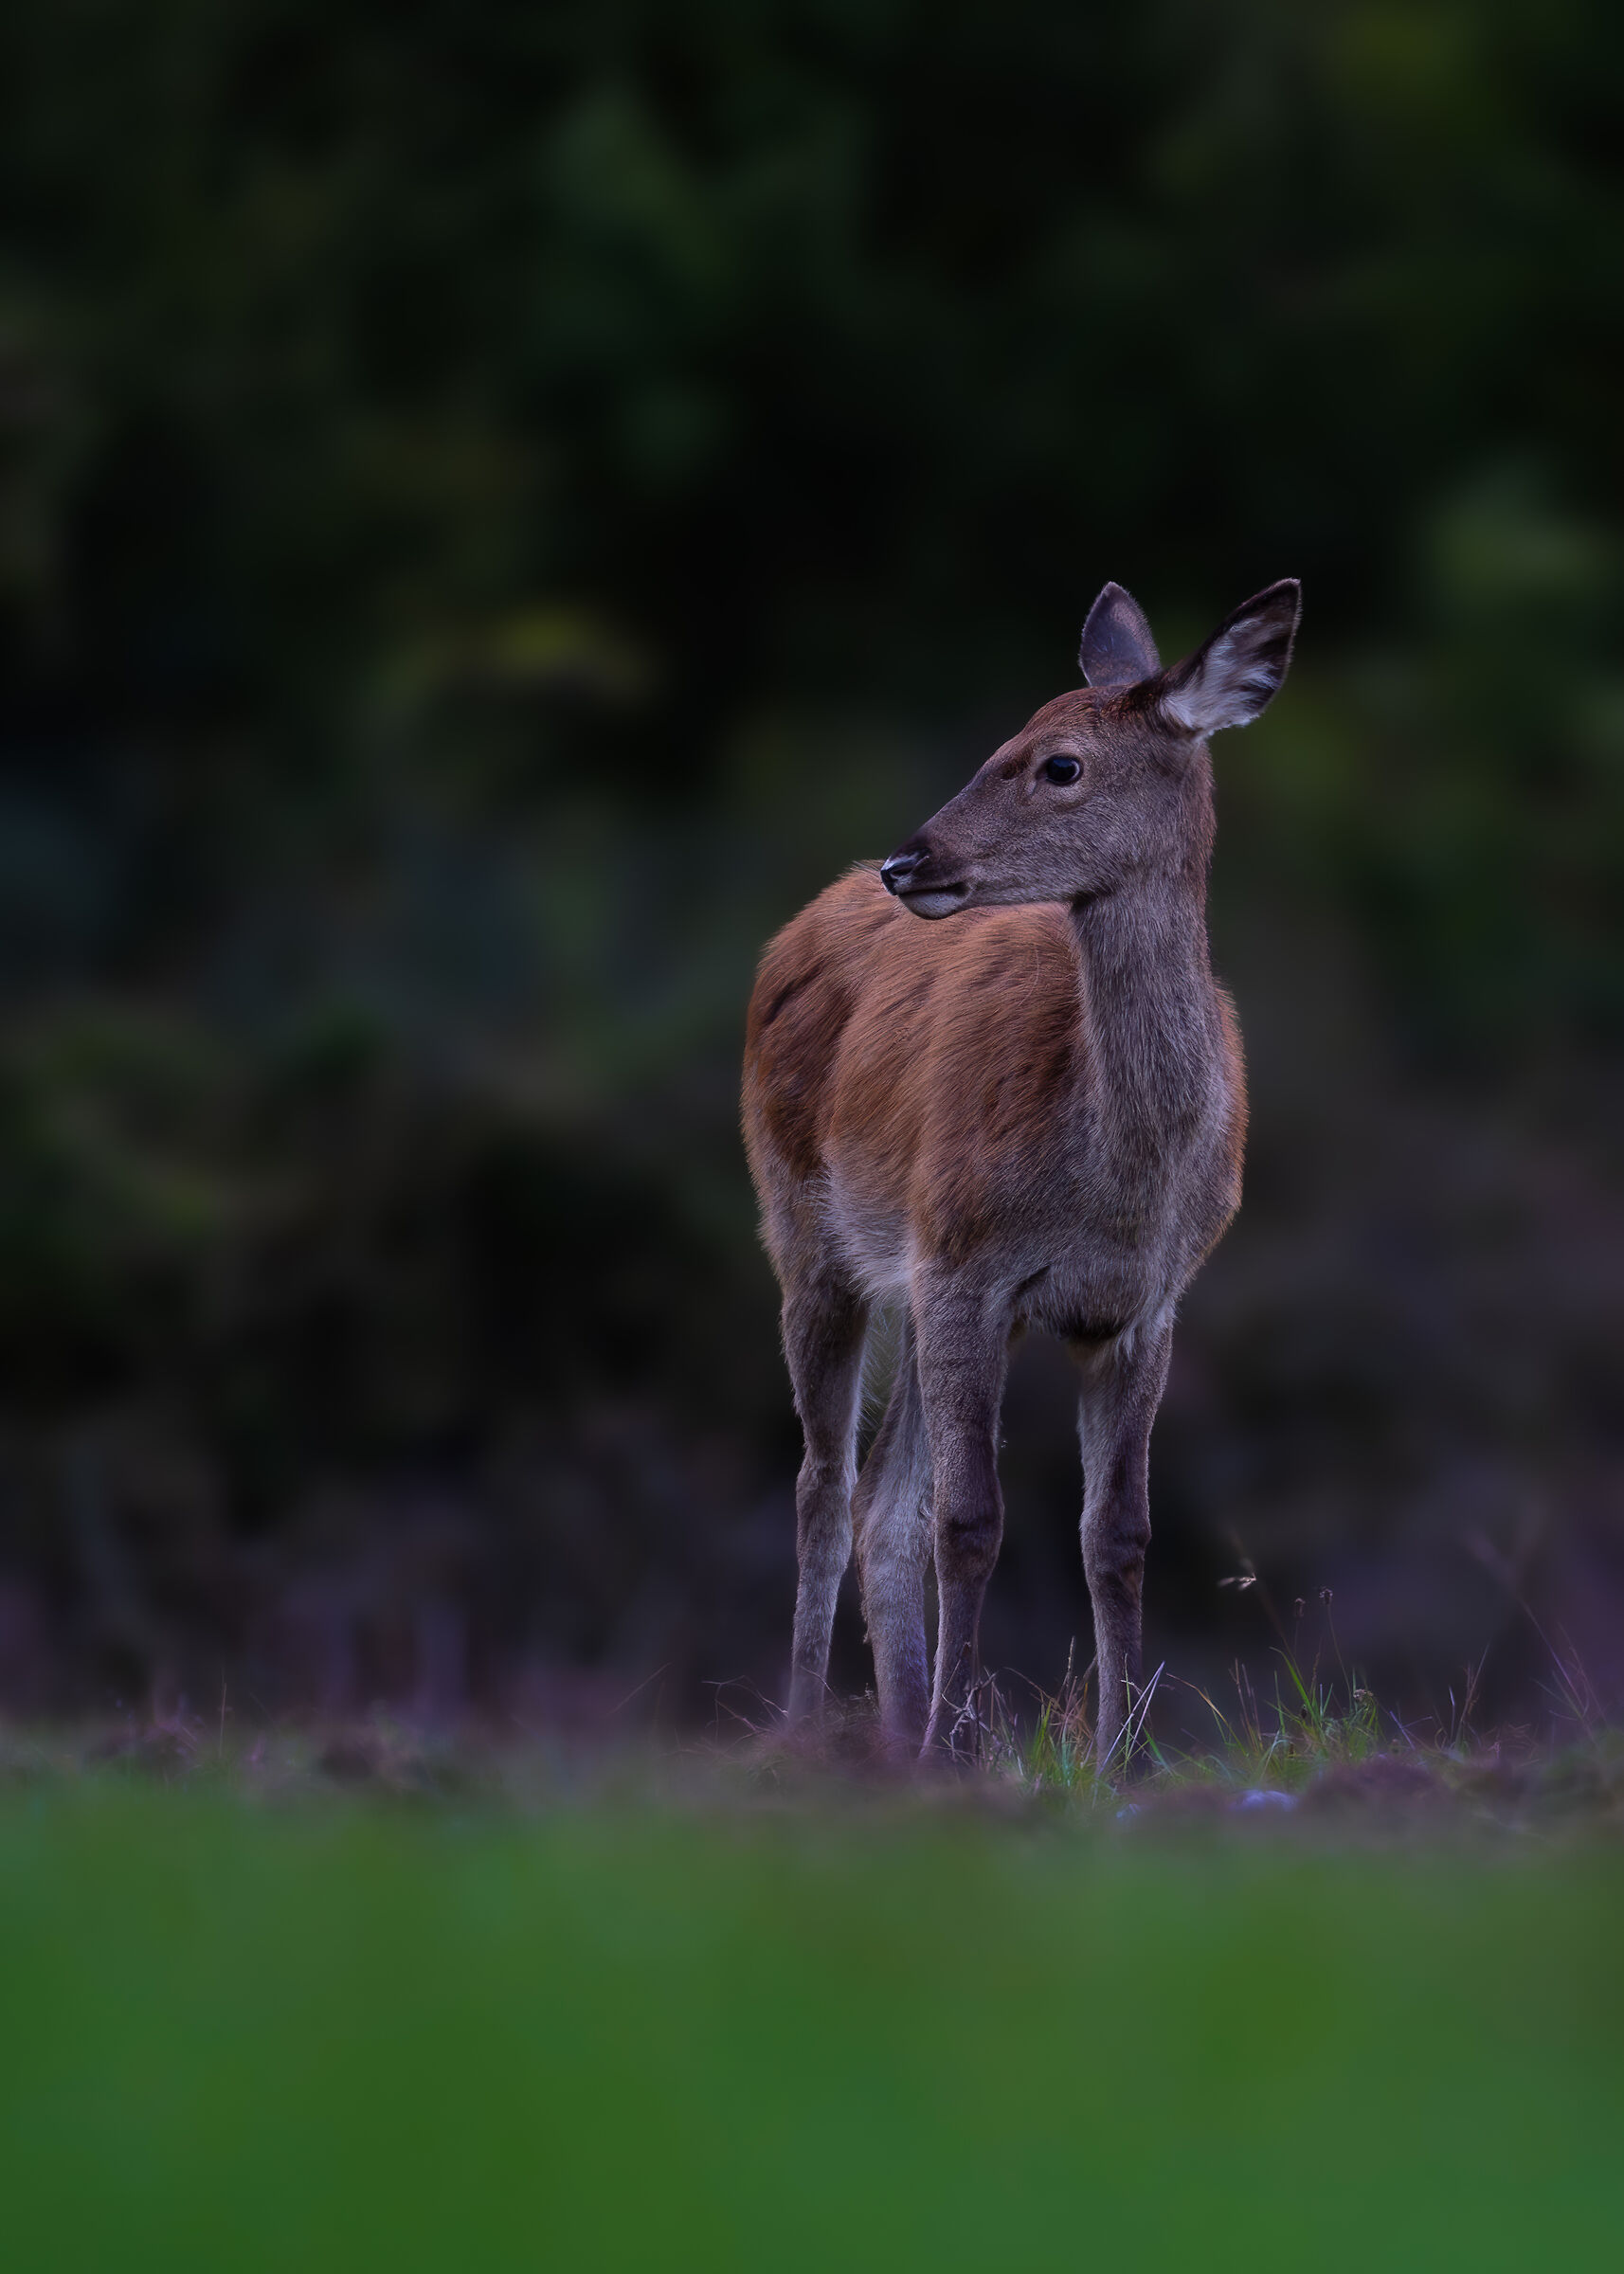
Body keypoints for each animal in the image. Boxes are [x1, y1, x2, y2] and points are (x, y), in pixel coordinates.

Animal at [742, 578, 1300, 1770]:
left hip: (913, 1285)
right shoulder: (965, 1261)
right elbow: (971, 1521)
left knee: (879, 1498)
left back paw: (894, 1732)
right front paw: (958, 1746)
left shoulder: (1144, 1304)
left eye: (1060, 765)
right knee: (824, 1483)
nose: (909, 863)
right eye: (1003, 741)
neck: (1115, 1183)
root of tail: (808, 912)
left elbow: (1118, 1533)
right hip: (807, 1228)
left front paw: (1117, 1755)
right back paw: (812, 1731)